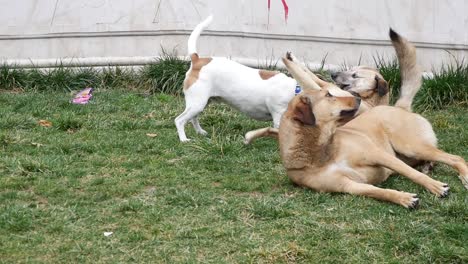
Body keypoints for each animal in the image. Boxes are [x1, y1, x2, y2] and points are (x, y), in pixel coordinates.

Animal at [276, 29, 466, 208]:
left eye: (355, 75)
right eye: (329, 96)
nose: (357, 100)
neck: (321, 152)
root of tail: (399, 107)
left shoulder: (378, 154)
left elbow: (412, 174)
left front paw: (435, 187)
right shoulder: (348, 186)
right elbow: (377, 191)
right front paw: (403, 198)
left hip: (411, 146)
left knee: (456, 158)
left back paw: (462, 176)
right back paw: (429, 167)